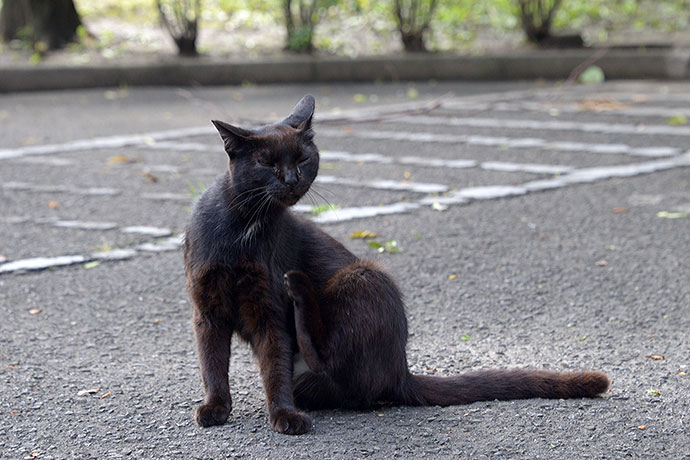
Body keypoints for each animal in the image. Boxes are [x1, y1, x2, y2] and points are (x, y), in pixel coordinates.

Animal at [183, 94, 608, 434]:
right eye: (267, 163)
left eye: (303, 159)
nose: (291, 178)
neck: (243, 228)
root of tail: (401, 372)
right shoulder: (207, 309)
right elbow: (212, 364)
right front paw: (215, 408)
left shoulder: (268, 308)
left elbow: (274, 362)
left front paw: (284, 416)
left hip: (365, 274)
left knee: (329, 364)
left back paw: (300, 289)